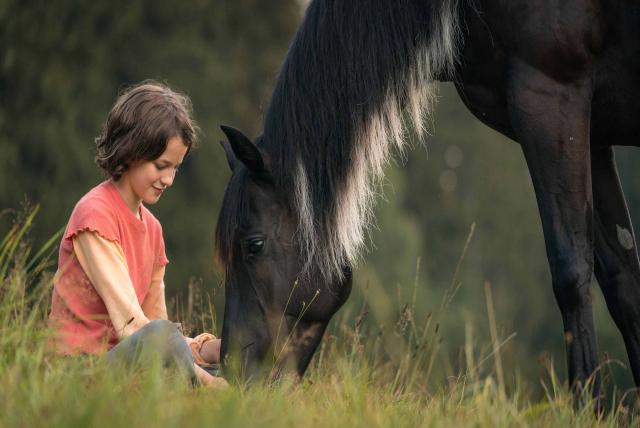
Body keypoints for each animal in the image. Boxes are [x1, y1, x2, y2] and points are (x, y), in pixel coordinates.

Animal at [215, 0, 640, 398]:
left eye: (254, 245)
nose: (233, 371)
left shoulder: (550, 97)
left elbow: (571, 272)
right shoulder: (593, 136)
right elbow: (623, 283)